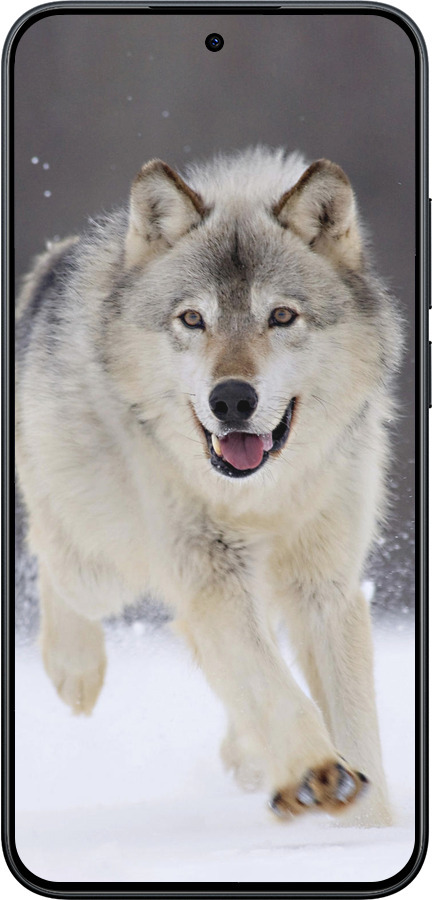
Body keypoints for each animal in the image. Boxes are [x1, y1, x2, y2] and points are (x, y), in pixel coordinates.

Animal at [15, 147, 401, 826]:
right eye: (193, 319)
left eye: (281, 316)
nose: (232, 400)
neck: (262, 496)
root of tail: (54, 261)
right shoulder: (210, 574)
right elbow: (272, 686)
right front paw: (316, 773)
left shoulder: (325, 586)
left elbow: (352, 722)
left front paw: (368, 827)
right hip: (104, 565)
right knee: (52, 557)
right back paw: (74, 671)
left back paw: (246, 757)